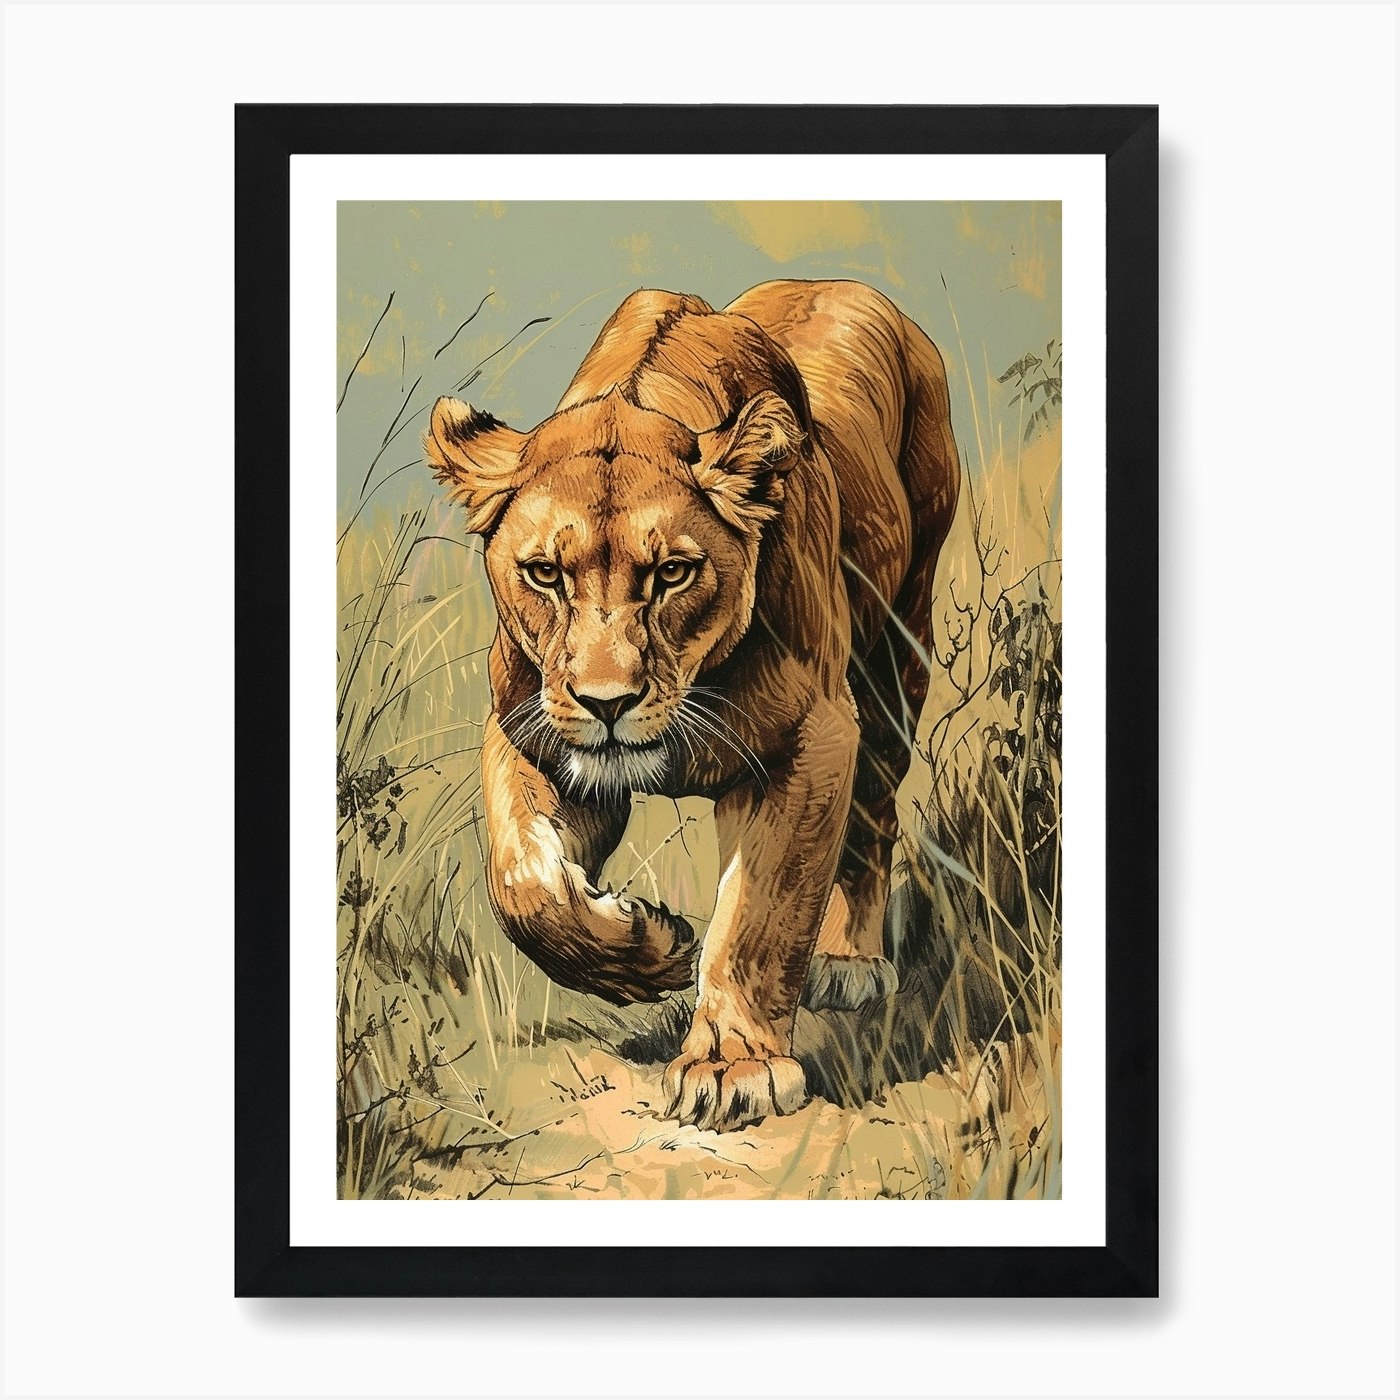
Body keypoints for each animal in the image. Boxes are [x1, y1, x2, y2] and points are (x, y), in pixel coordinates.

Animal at [425, 279, 960, 1133]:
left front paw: (733, 1068)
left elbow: (759, 917)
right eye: (545, 573)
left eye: (673, 572)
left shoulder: (809, 737)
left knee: (874, 818)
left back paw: (849, 961)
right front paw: (648, 949)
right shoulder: (530, 732)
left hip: (895, 655)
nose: (607, 703)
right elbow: (524, 883)